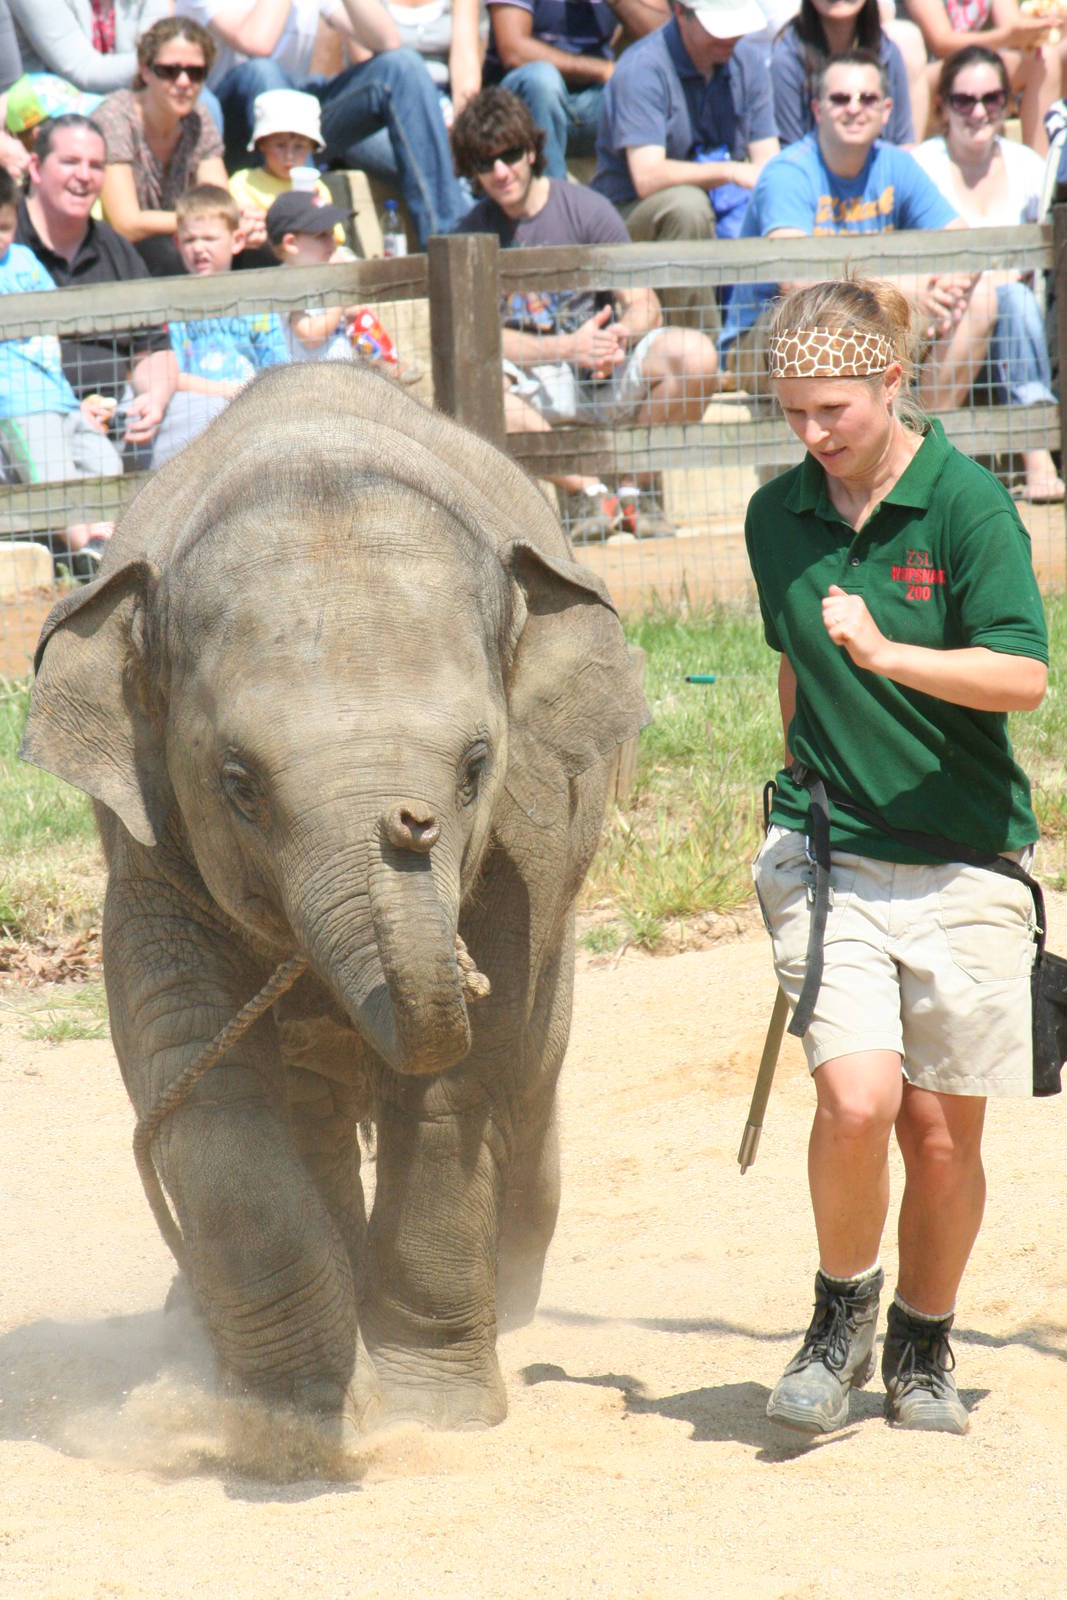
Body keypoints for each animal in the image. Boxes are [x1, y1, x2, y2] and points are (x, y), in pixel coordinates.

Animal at [21, 361, 649, 1440]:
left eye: (474, 766)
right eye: (238, 783)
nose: (409, 823)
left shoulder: (522, 847)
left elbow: (460, 1080)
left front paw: (430, 1417)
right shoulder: (148, 849)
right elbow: (194, 1070)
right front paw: (298, 1421)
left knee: (529, 1071)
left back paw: (512, 1292)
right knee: (306, 1102)